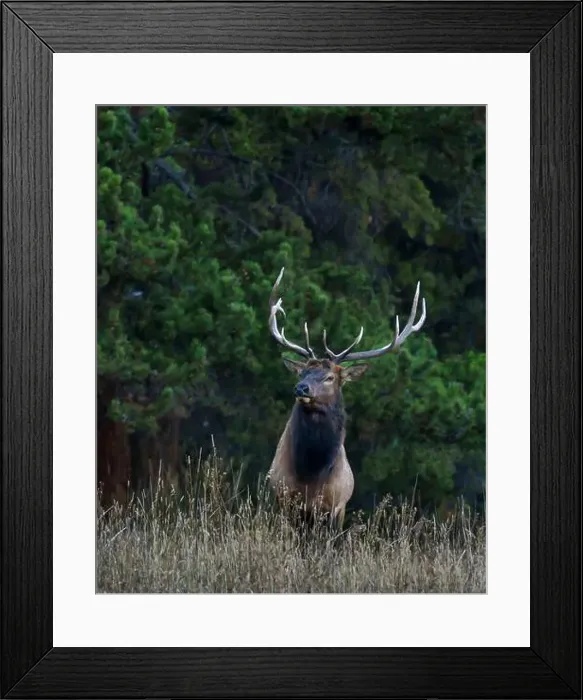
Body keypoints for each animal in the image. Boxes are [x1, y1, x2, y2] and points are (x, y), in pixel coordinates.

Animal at [266, 267, 427, 533]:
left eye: (330, 377)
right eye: (302, 372)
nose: (301, 388)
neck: (311, 476)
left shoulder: (336, 506)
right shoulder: (284, 499)